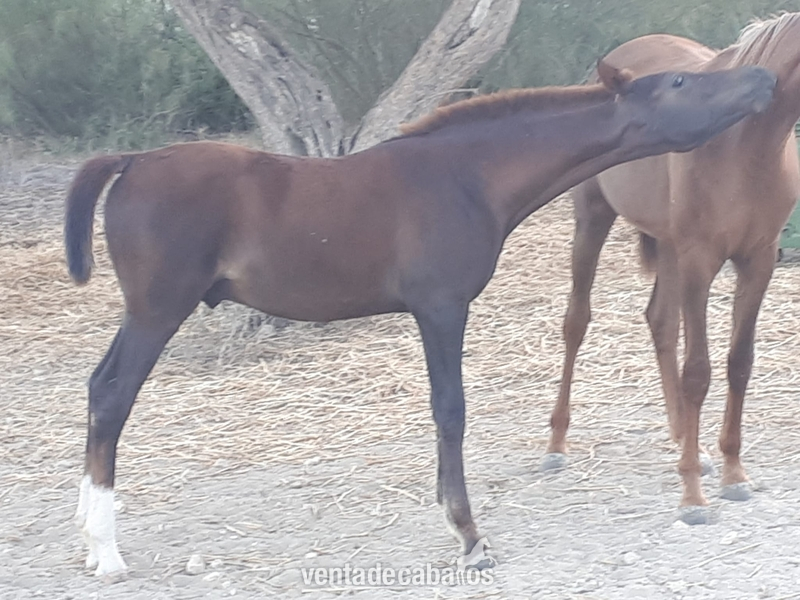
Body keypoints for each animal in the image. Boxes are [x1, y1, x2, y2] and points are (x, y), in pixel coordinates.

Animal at [65, 60, 775, 576]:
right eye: (679, 82)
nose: (763, 80)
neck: (468, 175)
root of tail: (131, 162)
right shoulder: (441, 307)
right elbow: (450, 409)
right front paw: (469, 535)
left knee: (98, 388)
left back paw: (88, 533)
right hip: (157, 311)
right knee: (112, 393)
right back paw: (107, 551)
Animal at [544, 14, 800, 524]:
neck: (747, 139)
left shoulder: (758, 260)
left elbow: (739, 363)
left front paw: (732, 472)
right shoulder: (700, 259)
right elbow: (697, 371)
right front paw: (693, 497)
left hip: (667, 244)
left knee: (660, 321)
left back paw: (687, 439)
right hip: (595, 219)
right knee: (576, 322)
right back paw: (557, 445)